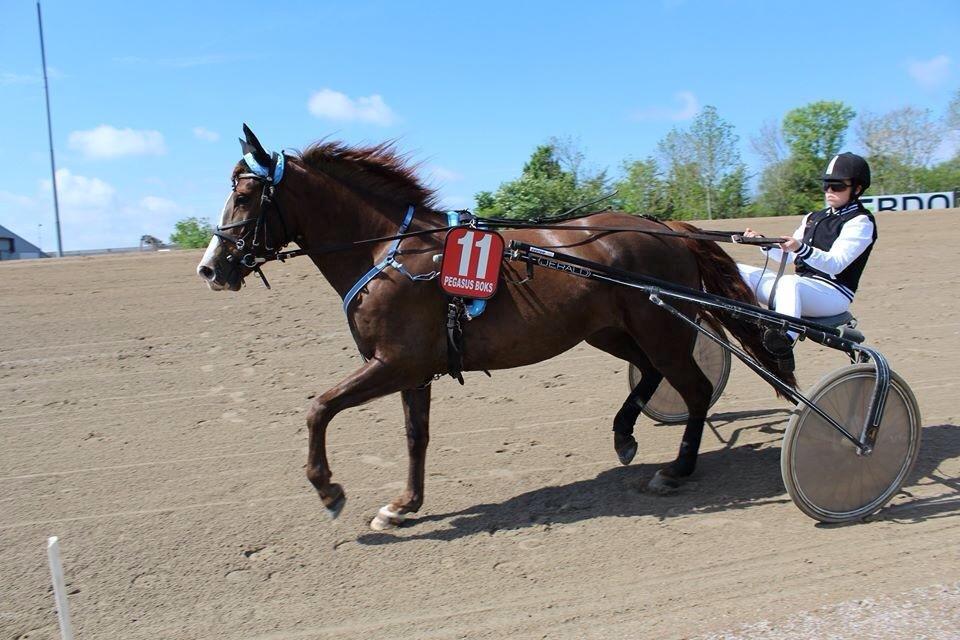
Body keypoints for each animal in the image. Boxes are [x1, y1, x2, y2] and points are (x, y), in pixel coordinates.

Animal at [197, 125, 796, 528]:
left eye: (245, 196)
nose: (211, 268)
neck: (387, 250)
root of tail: (665, 226)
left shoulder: (394, 363)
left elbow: (319, 408)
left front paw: (328, 489)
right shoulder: (412, 370)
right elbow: (415, 435)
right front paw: (404, 505)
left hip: (662, 328)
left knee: (693, 387)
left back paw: (677, 469)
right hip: (612, 330)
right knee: (651, 374)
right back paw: (625, 434)